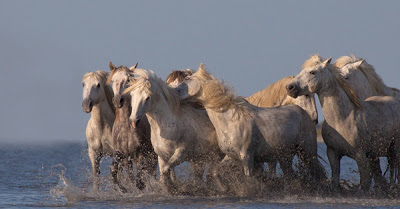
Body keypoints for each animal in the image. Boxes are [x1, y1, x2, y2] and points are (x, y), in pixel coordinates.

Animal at [175, 63, 324, 185]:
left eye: (187, 79)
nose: (173, 91)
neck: (230, 121)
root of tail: (304, 114)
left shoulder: (247, 158)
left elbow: (248, 180)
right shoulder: (232, 157)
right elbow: (215, 173)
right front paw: (224, 189)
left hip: (307, 152)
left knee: (317, 173)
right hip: (285, 157)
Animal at [286, 54, 400, 191]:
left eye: (312, 72)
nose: (290, 87)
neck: (342, 119)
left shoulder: (360, 155)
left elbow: (365, 184)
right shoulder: (333, 154)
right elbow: (335, 181)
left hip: (395, 151)